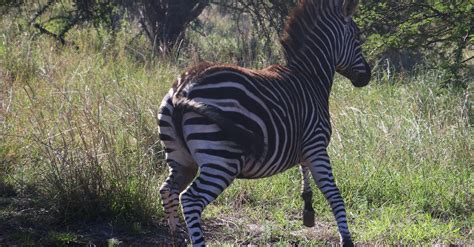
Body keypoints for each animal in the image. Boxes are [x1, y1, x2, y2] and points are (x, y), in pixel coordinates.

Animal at [157, 0, 372, 245]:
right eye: (357, 37)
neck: (310, 77)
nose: (367, 76)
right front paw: (346, 239)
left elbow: (304, 172)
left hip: (181, 158)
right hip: (221, 160)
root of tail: (182, 89)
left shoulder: (304, 145)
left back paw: (178, 236)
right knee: (190, 199)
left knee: (167, 190)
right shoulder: (316, 144)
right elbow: (333, 193)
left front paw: (308, 209)